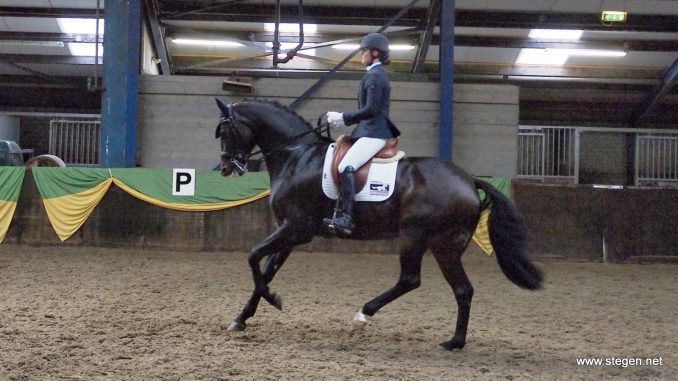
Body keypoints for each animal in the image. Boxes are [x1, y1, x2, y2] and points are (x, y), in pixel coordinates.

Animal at [215, 98, 544, 350]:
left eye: (225, 131)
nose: (228, 167)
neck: (297, 156)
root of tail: (468, 180)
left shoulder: (296, 228)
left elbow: (253, 257)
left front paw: (274, 300)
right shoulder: (291, 232)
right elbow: (266, 270)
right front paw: (241, 318)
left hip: (416, 235)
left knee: (410, 280)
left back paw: (362, 316)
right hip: (445, 246)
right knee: (462, 290)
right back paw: (455, 342)